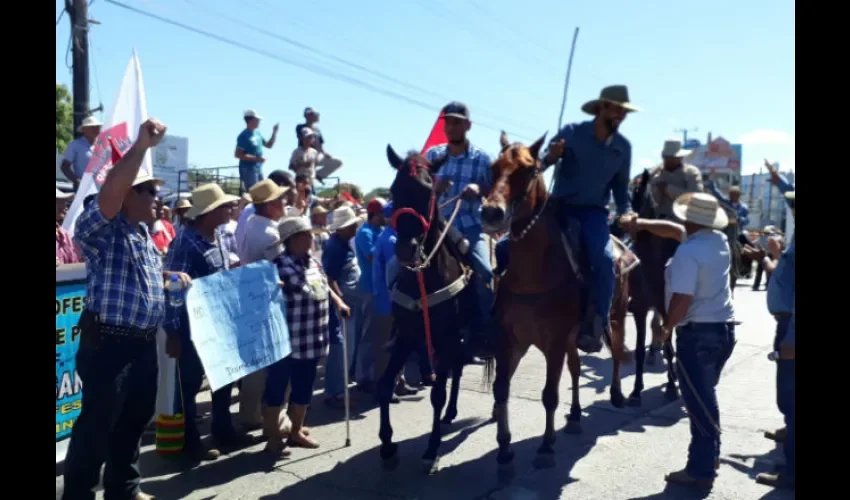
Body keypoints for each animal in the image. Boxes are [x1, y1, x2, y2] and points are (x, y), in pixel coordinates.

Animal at [378, 145, 490, 472]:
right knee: (458, 369)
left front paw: (431, 448)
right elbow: (384, 385)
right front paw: (387, 446)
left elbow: (437, 393)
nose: (406, 249)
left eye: (429, 191)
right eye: (394, 189)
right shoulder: (407, 336)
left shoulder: (445, 336)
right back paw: (451, 413)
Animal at [480, 133, 632, 480]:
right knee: (576, 370)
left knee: (617, 355)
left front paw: (546, 449)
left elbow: (549, 395)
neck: (533, 272)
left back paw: (617, 395)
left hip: (616, 318)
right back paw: (574, 415)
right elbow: (501, 390)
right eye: (493, 167)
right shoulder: (510, 340)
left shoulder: (554, 343)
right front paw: (504, 453)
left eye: (527, 169)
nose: (491, 213)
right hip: (574, 338)